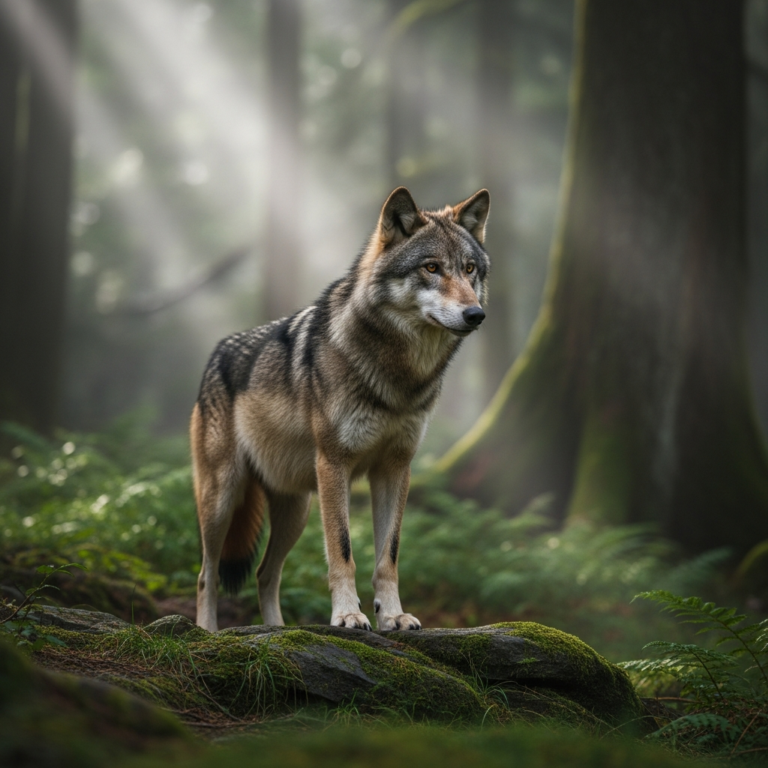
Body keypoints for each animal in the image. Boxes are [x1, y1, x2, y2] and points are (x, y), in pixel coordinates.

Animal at [192, 186, 490, 632]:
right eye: (432, 267)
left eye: (469, 269)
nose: (476, 314)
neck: (399, 377)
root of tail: (216, 354)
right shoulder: (335, 465)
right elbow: (342, 551)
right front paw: (348, 615)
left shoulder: (395, 468)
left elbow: (389, 556)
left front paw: (393, 615)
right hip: (222, 500)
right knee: (206, 574)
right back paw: (207, 632)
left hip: (295, 511)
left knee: (265, 573)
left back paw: (277, 631)